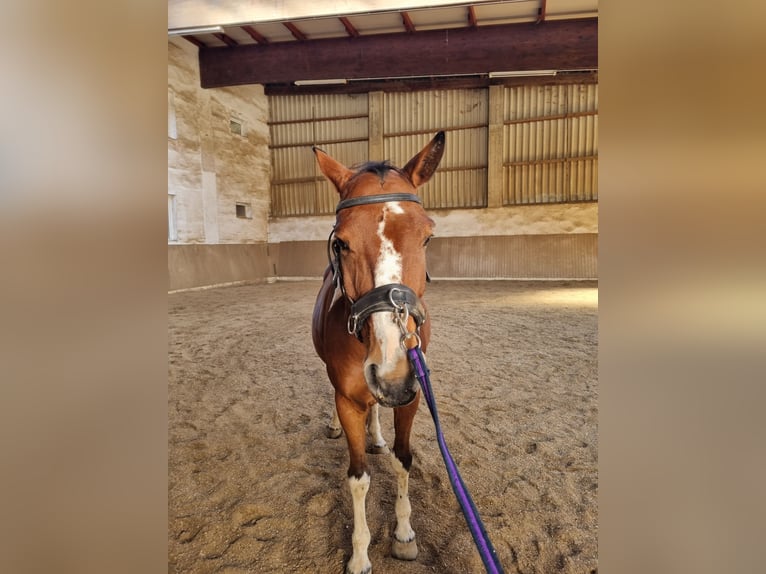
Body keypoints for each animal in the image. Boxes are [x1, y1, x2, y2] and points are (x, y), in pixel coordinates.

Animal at [311, 131, 445, 574]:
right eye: (341, 242)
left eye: (427, 236)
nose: (391, 374)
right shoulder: (349, 398)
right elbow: (358, 477)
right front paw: (359, 555)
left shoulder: (412, 394)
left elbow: (403, 460)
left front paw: (404, 534)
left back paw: (377, 435)